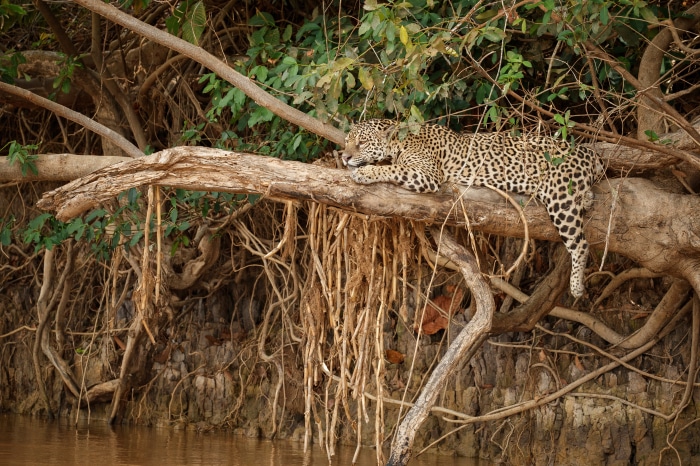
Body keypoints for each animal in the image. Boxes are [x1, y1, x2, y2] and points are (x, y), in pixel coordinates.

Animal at [341, 119, 604, 298]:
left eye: (361, 143)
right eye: (347, 141)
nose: (344, 157)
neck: (399, 141)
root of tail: (590, 152)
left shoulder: (426, 175)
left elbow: (391, 169)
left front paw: (365, 172)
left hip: (560, 198)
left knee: (580, 244)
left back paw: (576, 286)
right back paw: (588, 199)